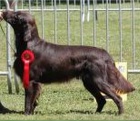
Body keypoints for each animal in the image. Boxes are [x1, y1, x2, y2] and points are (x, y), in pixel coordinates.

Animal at [0, 10, 136, 114]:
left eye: (17, 15)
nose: (4, 11)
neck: (28, 44)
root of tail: (105, 53)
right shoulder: (35, 82)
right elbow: (34, 101)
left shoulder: (31, 80)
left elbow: (28, 101)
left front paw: (27, 114)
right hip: (89, 82)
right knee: (101, 100)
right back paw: (96, 113)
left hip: (98, 81)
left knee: (117, 97)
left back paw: (120, 114)